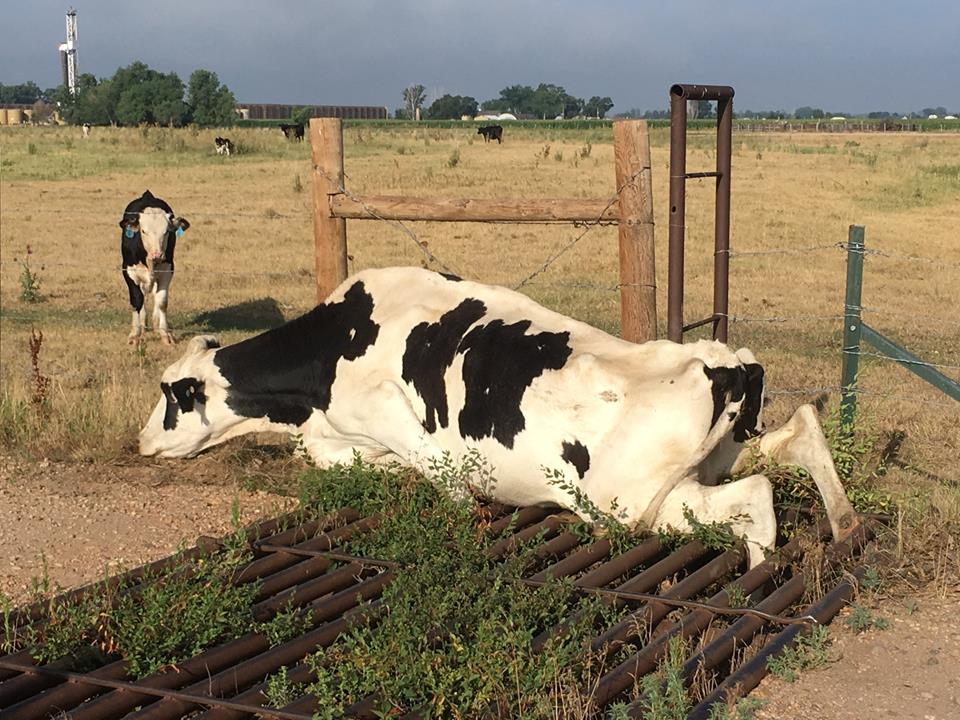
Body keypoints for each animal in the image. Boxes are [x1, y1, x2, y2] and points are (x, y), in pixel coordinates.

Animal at [120, 190, 190, 345]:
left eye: (166, 231)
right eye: (143, 231)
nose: (157, 255)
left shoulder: (167, 270)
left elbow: (162, 301)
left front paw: (165, 334)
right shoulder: (128, 272)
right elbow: (136, 300)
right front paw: (135, 334)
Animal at [139, 267, 858, 566]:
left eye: (173, 395)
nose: (141, 441)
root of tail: (720, 359)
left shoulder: (410, 436)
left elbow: (450, 491)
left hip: (632, 504)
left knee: (757, 501)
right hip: (718, 456)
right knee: (798, 436)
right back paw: (844, 522)